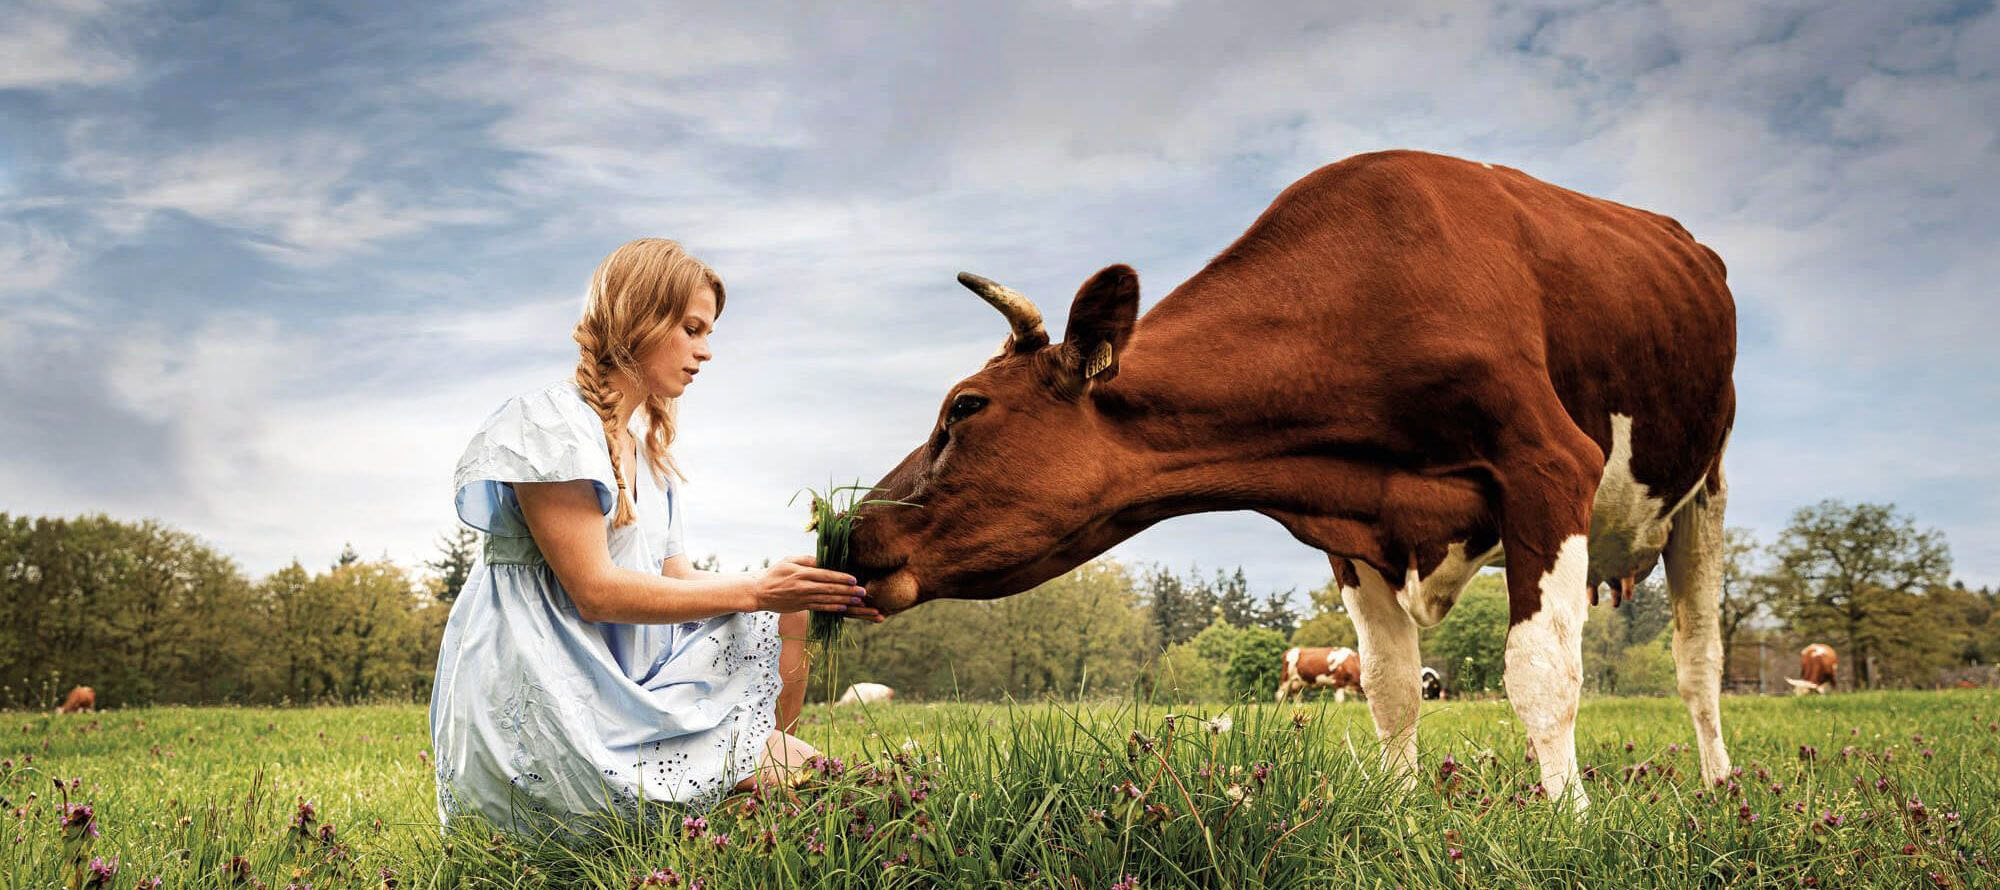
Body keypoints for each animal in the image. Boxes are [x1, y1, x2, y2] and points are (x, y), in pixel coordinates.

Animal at [844, 147, 1736, 804]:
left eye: (964, 407)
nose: (850, 526)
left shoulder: (1548, 467)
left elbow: (1541, 672)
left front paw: (1566, 819)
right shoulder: (1352, 521)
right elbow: (1390, 686)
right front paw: (1400, 810)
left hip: (1706, 491)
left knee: (1699, 663)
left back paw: (1719, 786)